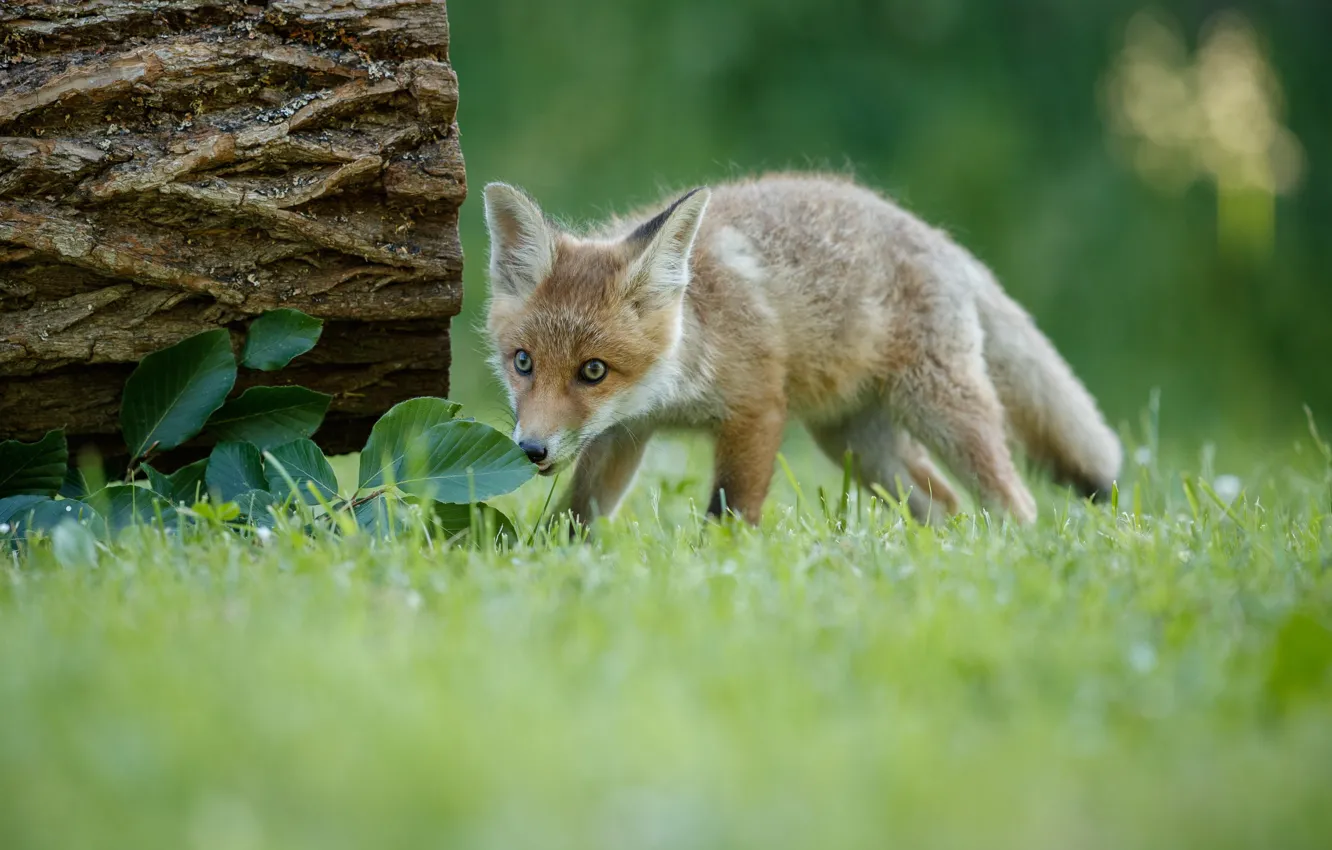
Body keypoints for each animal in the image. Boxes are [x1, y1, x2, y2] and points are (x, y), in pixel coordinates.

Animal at [483, 172, 1121, 527]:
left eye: (593, 371)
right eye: (523, 363)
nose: (531, 449)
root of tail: (942, 240)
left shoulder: (758, 409)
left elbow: (729, 515)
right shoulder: (624, 435)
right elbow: (577, 516)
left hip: (943, 412)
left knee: (1016, 503)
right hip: (858, 444)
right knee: (945, 504)